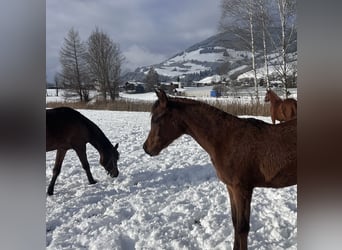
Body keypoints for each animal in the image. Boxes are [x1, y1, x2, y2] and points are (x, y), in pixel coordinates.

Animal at [143, 90, 296, 250]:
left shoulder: (242, 189)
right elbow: (235, 223)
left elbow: (242, 228)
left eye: (156, 119)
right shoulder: (231, 188)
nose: (146, 148)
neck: (227, 140)